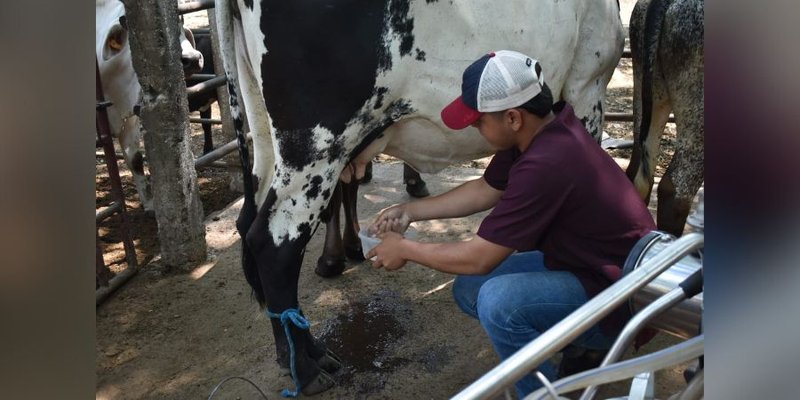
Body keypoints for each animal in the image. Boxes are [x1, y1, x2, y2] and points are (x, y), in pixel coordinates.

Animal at [217, 0, 624, 394]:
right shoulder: (587, 85)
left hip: (266, 132)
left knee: (248, 225)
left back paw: (301, 354)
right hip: (318, 144)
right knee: (274, 243)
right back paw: (306, 369)